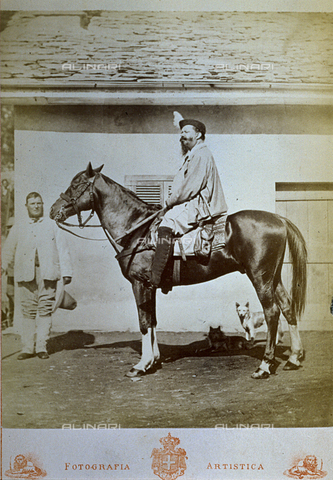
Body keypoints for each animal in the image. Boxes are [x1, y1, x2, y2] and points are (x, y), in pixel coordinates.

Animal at [49, 163, 306, 380]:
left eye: (76, 184)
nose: (53, 210)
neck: (137, 230)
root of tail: (278, 218)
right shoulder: (149, 287)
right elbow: (152, 321)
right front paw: (153, 360)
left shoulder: (139, 284)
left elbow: (144, 323)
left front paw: (141, 365)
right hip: (273, 277)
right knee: (287, 307)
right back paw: (294, 358)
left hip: (260, 277)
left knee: (272, 312)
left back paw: (264, 365)